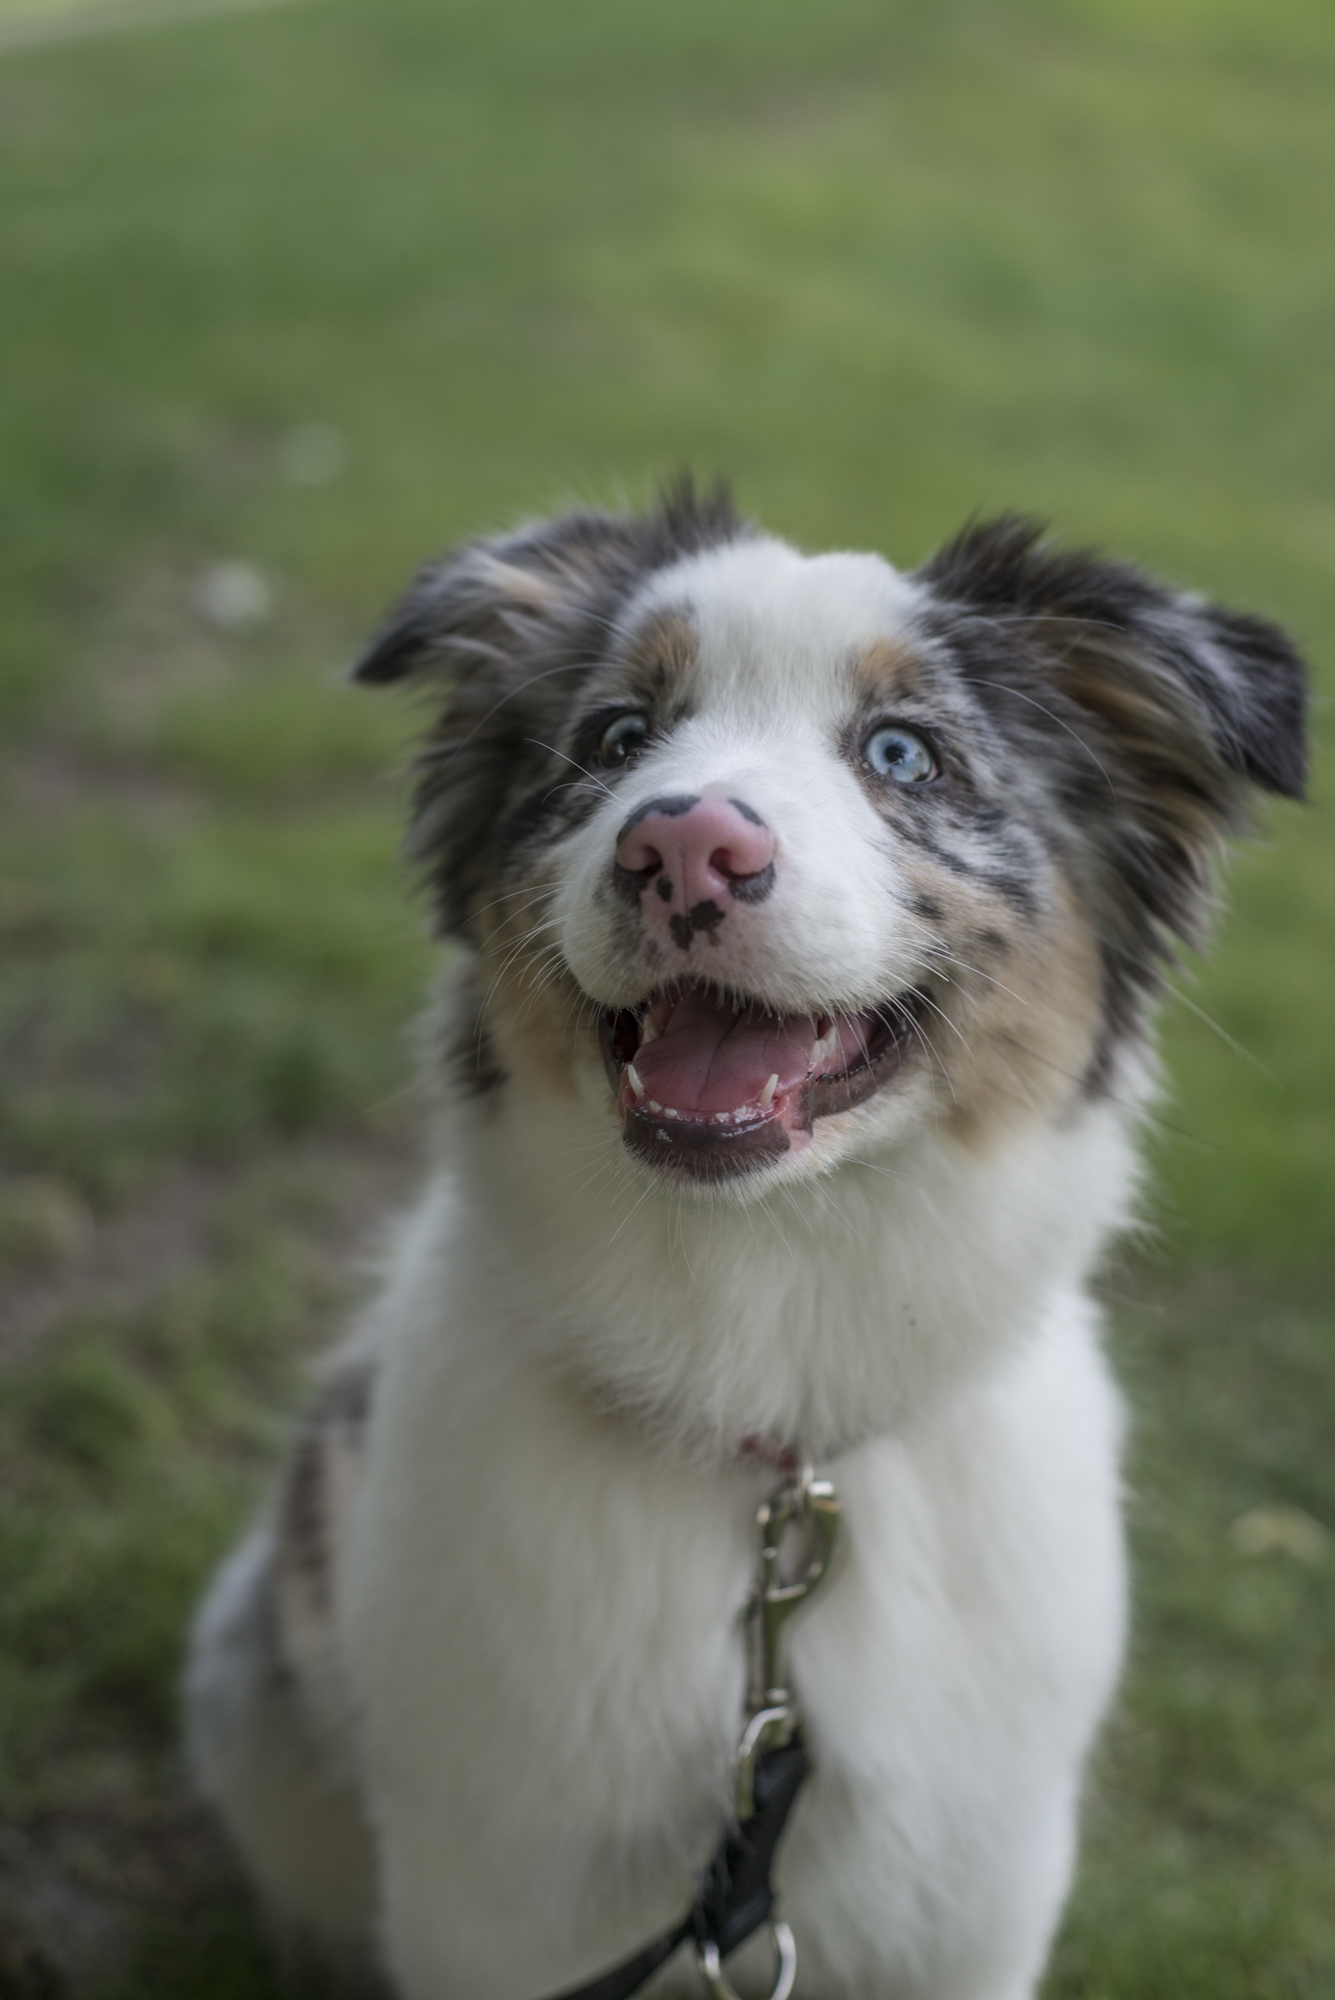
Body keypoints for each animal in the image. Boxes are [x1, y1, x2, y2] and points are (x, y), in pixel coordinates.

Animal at [184, 484, 1303, 2000]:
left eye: (902, 753)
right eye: (614, 739)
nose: (681, 847)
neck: (770, 1367)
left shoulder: (977, 1889)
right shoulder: (495, 1888)